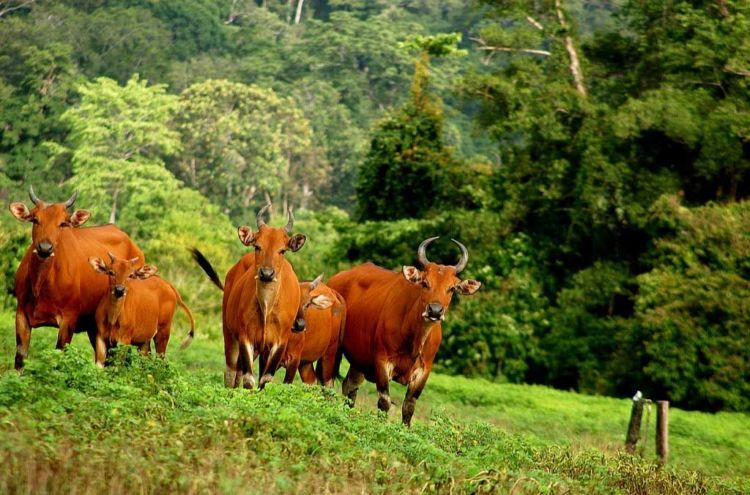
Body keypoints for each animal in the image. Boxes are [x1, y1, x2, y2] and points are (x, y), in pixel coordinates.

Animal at [9, 188, 144, 370]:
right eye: (35, 220)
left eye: (62, 223)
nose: (45, 248)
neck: (41, 285)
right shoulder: (21, 314)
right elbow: (20, 358)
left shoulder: (69, 319)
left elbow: (59, 358)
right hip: (95, 329)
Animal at [195, 203, 310, 390]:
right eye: (257, 246)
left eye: (282, 250)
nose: (266, 273)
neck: (266, 308)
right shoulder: (245, 337)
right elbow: (249, 379)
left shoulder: (280, 342)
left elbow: (265, 379)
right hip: (229, 333)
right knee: (231, 371)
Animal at [328, 237, 482, 426]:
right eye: (425, 283)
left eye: (452, 288)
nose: (435, 311)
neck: (414, 340)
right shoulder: (382, 362)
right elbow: (384, 402)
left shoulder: (424, 371)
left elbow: (409, 406)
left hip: (358, 359)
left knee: (350, 386)